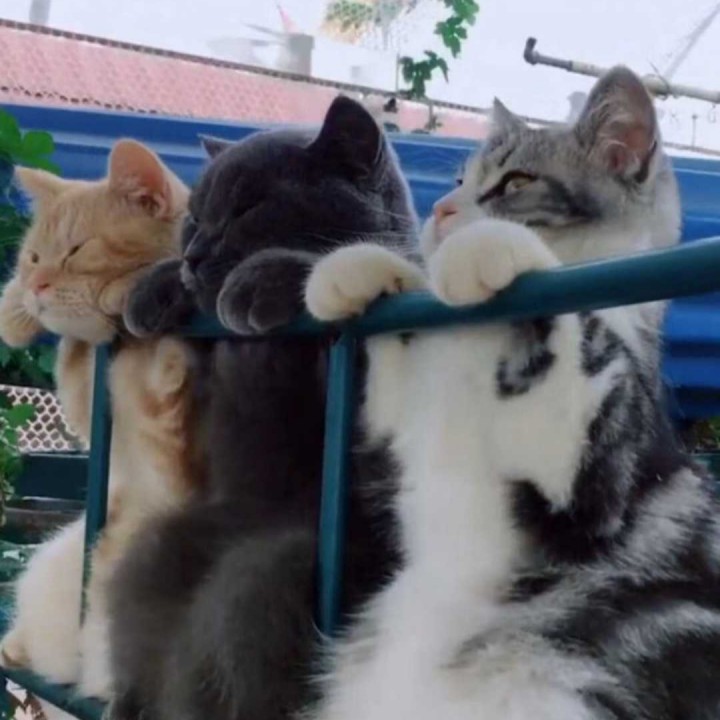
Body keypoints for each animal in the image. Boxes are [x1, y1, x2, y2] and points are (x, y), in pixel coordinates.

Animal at [0, 140, 203, 718]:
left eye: (74, 252)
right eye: (34, 257)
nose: (39, 284)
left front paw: (124, 291)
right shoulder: (92, 413)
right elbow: (71, 356)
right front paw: (15, 311)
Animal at [105, 96, 412, 720]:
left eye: (249, 206)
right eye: (194, 217)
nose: (195, 252)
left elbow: (329, 264)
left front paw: (261, 277)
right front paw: (153, 287)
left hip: (298, 570)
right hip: (160, 551)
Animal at [302, 67, 720, 720]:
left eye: (516, 182)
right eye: (458, 180)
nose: (441, 209)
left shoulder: (601, 473)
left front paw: (495, 249)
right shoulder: (402, 427)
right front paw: (363, 271)